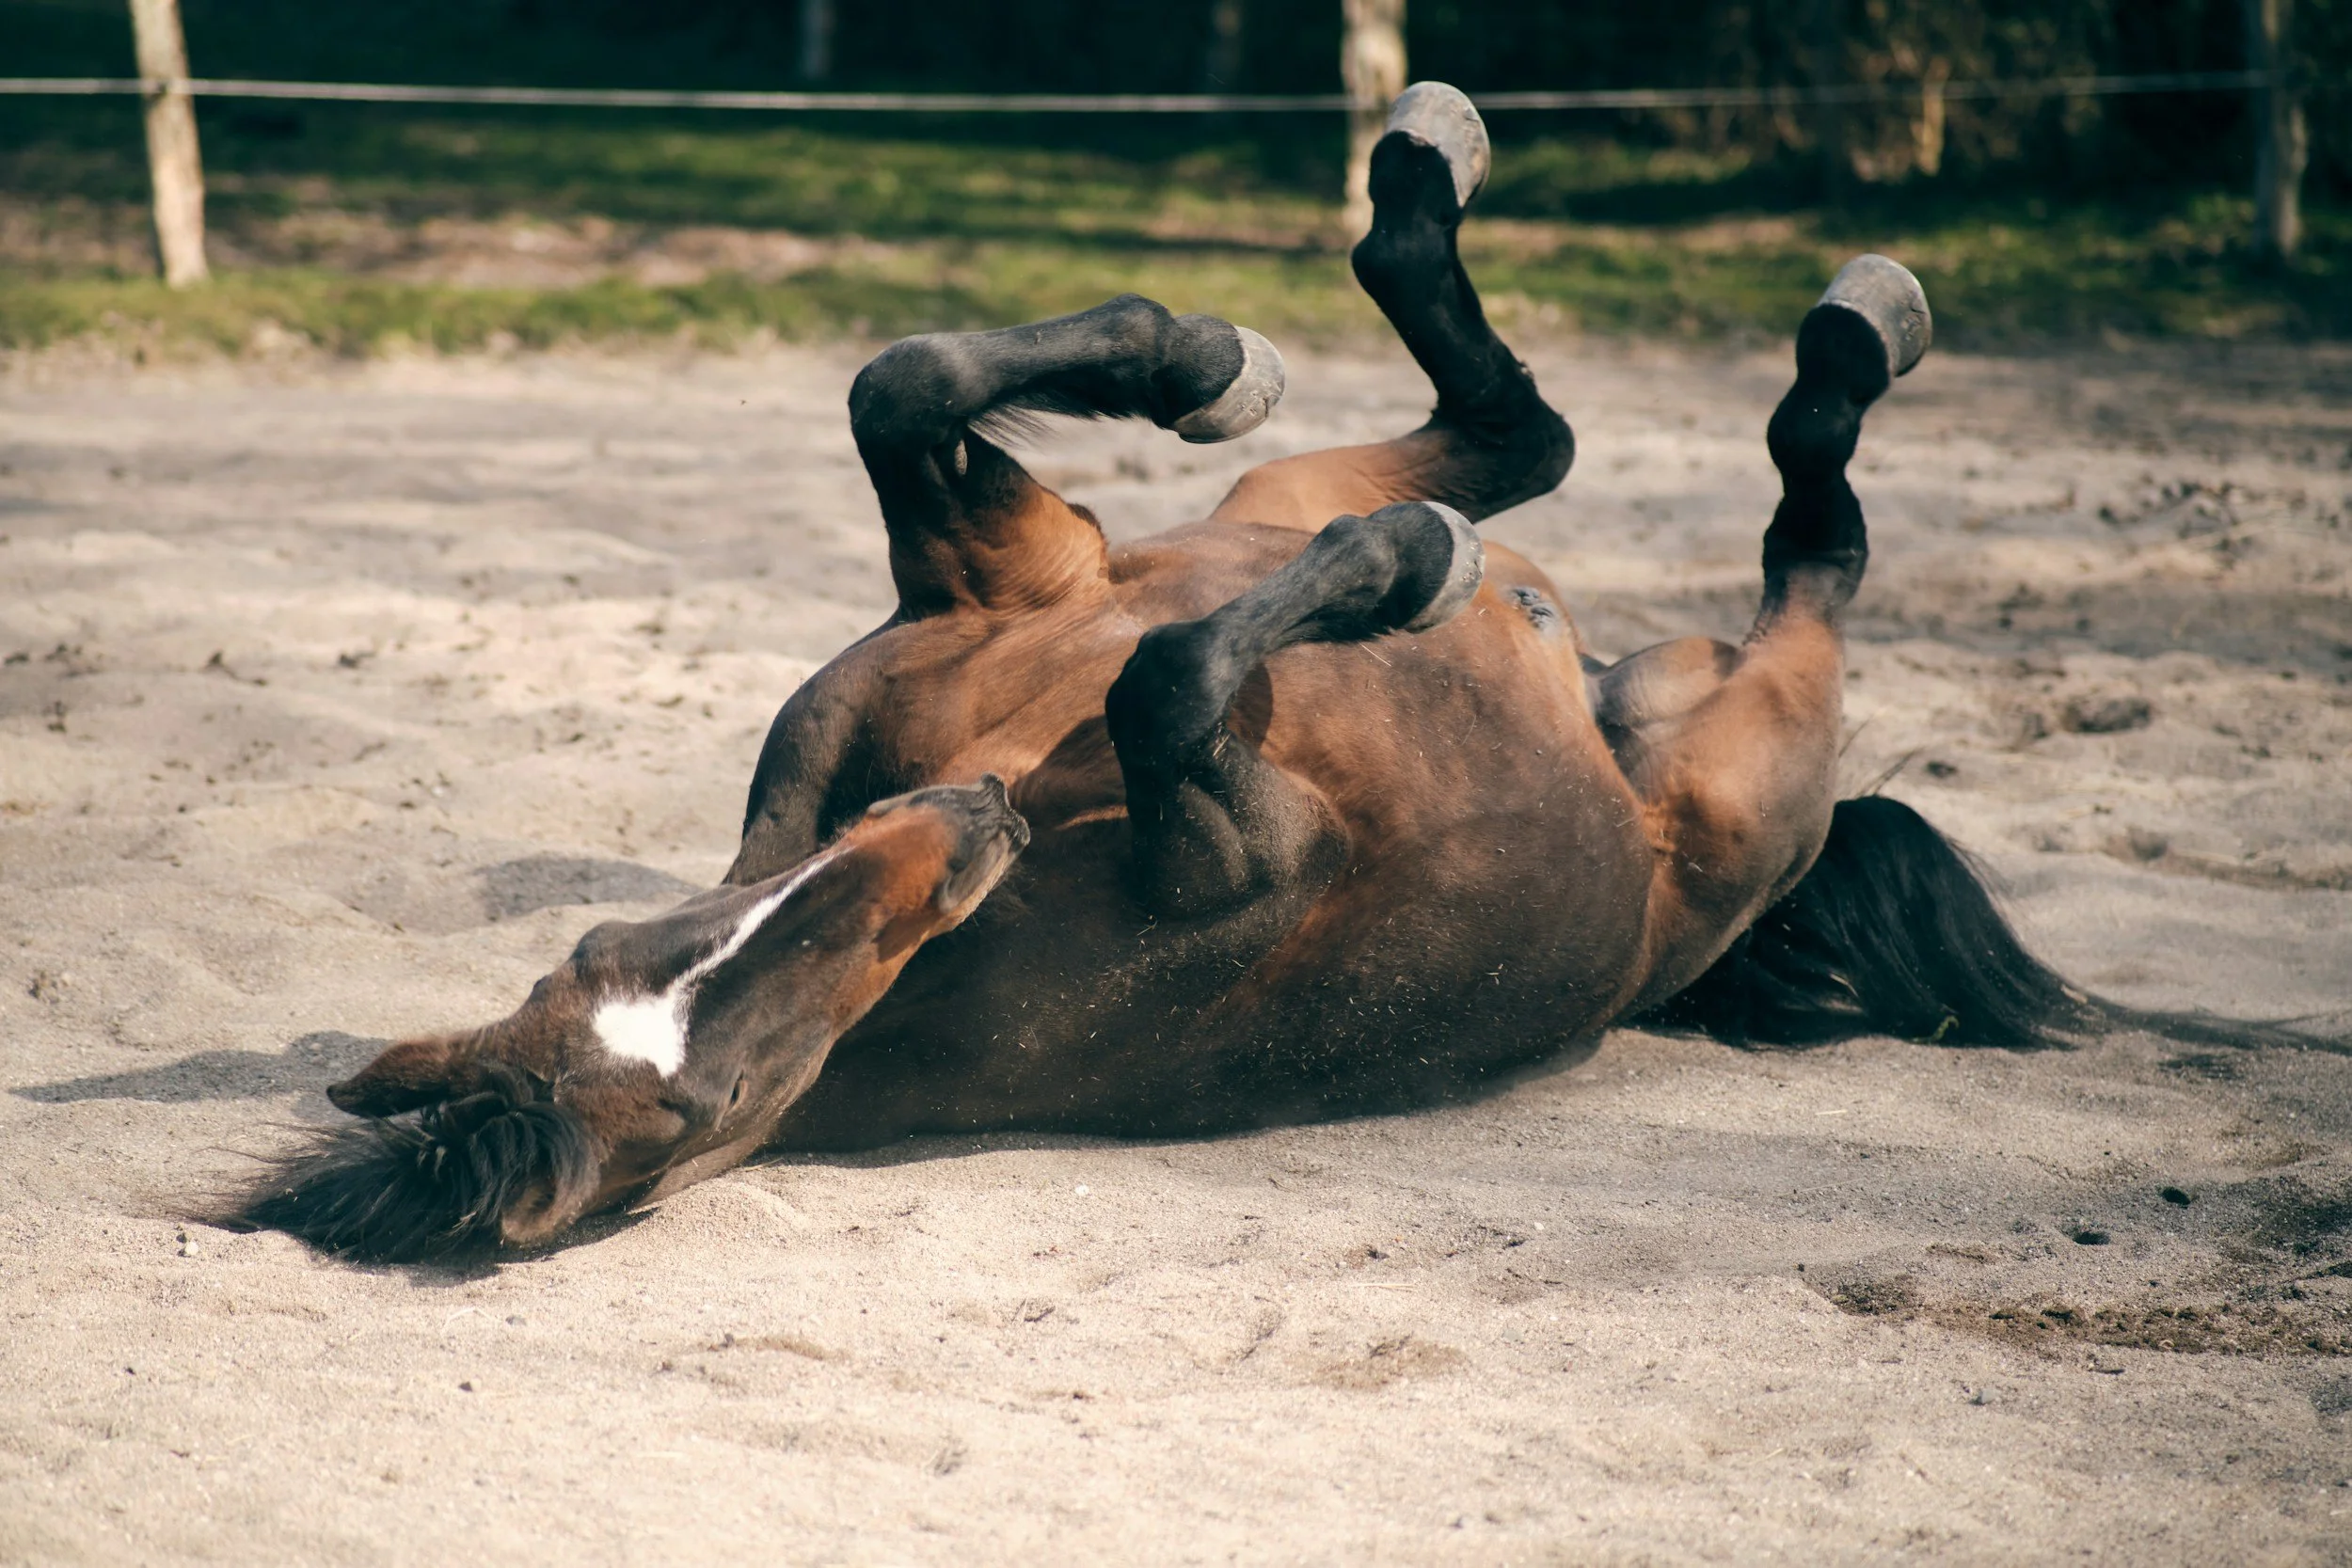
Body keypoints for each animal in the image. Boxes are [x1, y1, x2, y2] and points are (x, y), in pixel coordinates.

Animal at [234, 83, 2258, 1262]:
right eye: (697, 1100)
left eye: (616, 945)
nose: (947, 828)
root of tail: (1618, 722)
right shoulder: (1231, 825)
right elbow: (1162, 685)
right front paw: (1391, 574)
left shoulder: (996, 591)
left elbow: (903, 384)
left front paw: (1190, 356)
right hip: (1752, 756)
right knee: (1774, 542)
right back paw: (1775, 368)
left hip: (1281, 509)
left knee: (1507, 432)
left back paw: (1407, 209)